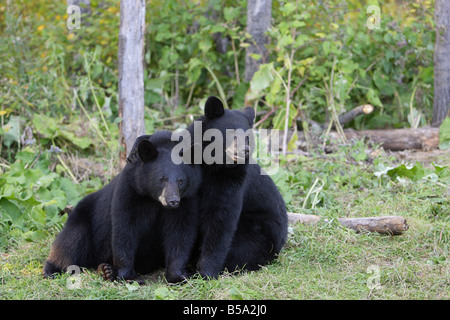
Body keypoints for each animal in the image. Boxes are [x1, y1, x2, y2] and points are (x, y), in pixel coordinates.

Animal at [43, 131, 201, 284]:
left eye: (180, 180)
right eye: (161, 179)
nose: (173, 201)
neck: (155, 200)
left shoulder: (187, 201)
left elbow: (180, 232)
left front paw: (178, 275)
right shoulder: (131, 189)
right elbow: (125, 228)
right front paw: (129, 276)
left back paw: (107, 270)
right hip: (83, 218)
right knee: (70, 243)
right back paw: (53, 270)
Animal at [187, 96, 288, 278]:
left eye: (248, 137)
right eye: (230, 132)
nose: (244, 150)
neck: (212, 164)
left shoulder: (232, 179)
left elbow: (220, 218)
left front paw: (206, 272)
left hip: (259, 233)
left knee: (242, 250)